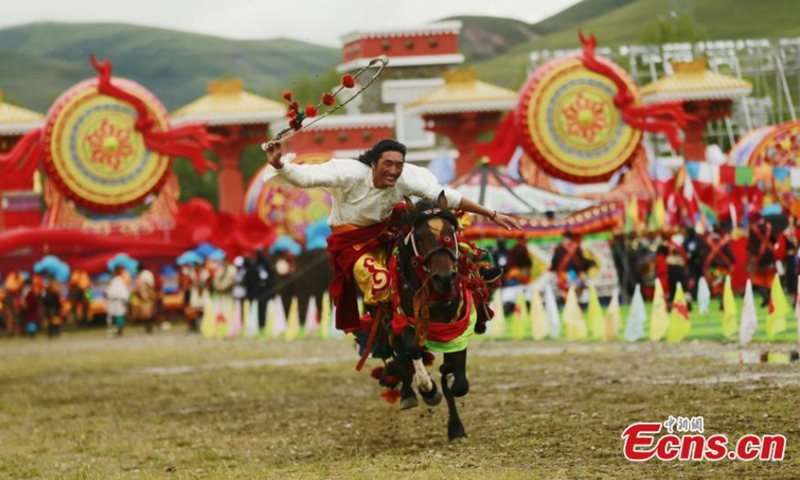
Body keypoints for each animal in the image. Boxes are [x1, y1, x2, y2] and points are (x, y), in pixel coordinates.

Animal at [360, 193, 488, 440]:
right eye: (419, 237)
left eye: (450, 231)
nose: (445, 277)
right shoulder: (402, 323)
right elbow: (413, 350)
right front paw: (429, 390)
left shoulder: (457, 328)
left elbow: (460, 383)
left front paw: (456, 425)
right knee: (402, 356)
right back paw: (409, 393)